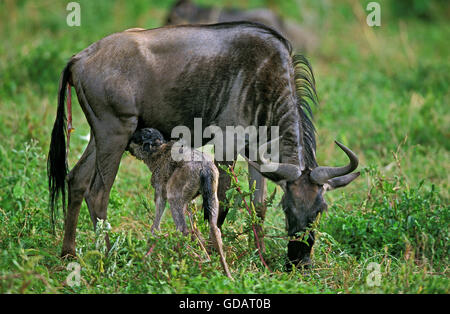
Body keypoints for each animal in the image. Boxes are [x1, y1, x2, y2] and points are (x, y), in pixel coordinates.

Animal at [126, 126, 232, 278]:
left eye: (136, 138)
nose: (127, 146)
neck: (159, 151)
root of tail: (204, 167)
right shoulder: (188, 201)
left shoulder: (160, 191)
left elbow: (156, 222)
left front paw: (150, 245)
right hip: (212, 194)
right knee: (214, 228)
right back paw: (224, 271)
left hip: (174, 193)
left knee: (182, 228)